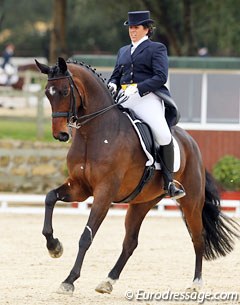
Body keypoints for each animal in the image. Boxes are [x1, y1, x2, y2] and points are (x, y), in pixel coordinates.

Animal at [35, 57, 238, 294]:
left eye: (65, 91)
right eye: (48, 93)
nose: (60, 134)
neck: (93, 134)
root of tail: (191, 142)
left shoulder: (104, 192)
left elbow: (86, 236)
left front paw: (69, 280)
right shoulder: (79, 187)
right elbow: (50, 198)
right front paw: (54, 247)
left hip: (192, 202)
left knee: (198, 238)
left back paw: (196, 283)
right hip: (142, 202)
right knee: (130, 242)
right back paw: (108, 281)